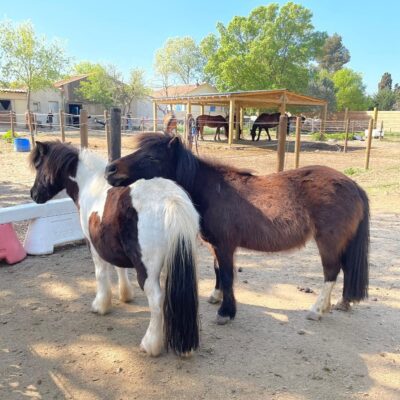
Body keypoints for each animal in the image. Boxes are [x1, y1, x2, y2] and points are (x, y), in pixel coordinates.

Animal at [29, 141, 200, 356]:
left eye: (38, 166)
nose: (33, 194)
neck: (90, 184)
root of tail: (171, 200)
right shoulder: (113, 245)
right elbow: (120, 268)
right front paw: (125, 295)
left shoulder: (94, 246)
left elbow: (101, 274)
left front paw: (101, 305)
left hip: (148, 270)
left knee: (156, 300)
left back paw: (150, 344)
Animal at [105, 133, 370, 326]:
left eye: (152, 157)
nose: (110, 170)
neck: (212, 190)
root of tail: (352, 184)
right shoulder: (215, 246)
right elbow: (218, 271)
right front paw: (216, 297)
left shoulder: (225, 246)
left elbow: (227, 274)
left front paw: (226, 312)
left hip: (328, 242)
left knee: (331, 272)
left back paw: (316, 310)